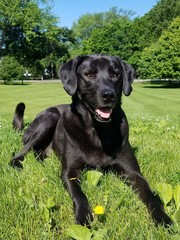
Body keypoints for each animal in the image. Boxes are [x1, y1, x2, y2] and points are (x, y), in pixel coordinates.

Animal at [10, 54, 172, 227]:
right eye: (88, 74)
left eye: (115, 74)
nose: (108, 95)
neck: (98, 130)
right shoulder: (69, 172)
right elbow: (79, 195)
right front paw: (83, 217)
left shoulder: (133, 173)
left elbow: (151, 195)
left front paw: (163, 218)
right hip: (50, 117)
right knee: (22, 151)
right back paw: (17, 163)